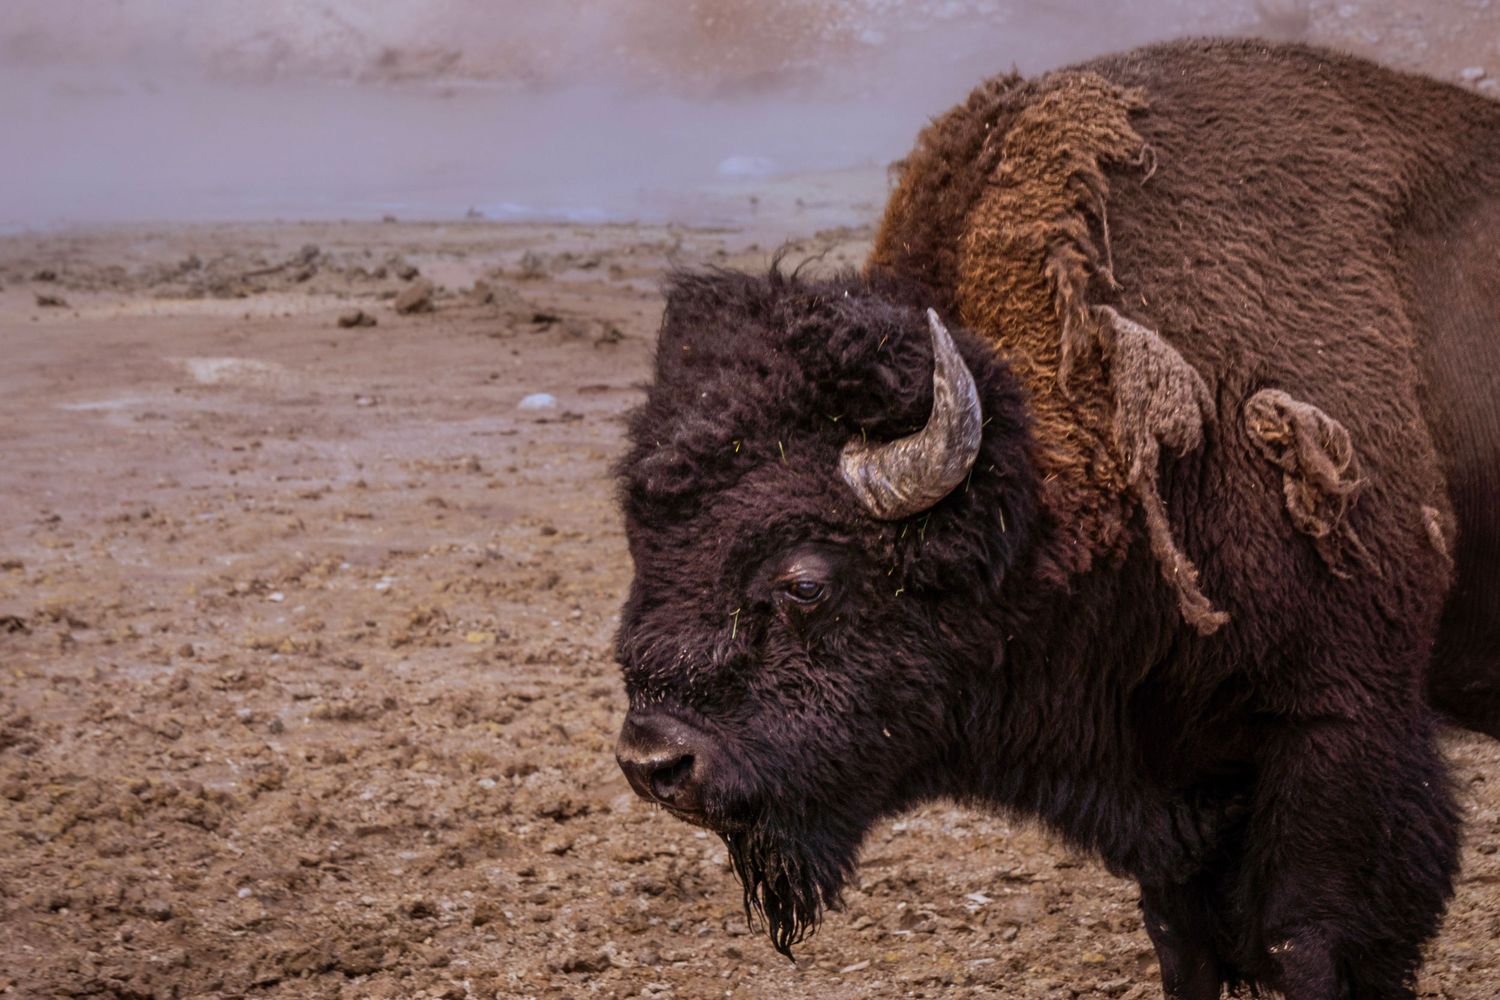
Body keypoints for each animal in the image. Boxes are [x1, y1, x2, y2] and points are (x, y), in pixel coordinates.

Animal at [612, 38, 1500, 1000]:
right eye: (643, 545)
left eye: (806, 581)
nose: (655, 762)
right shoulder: (1170, 772)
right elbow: (1178, 936)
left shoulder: (1339, 723)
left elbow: (1305, 938)